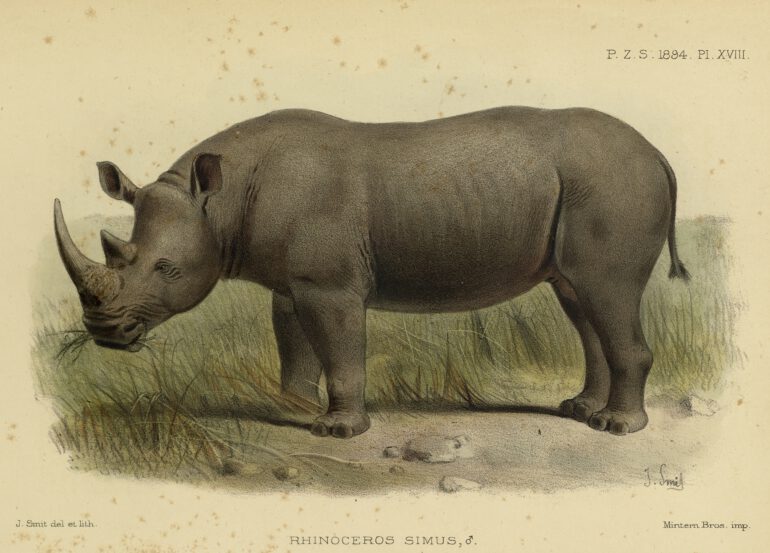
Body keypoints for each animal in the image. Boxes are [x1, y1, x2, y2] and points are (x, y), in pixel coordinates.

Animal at [54, 106, 689, 438]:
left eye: (166, 269)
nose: (104, 333)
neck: (222, 200)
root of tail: (659, 154)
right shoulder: (293, 282)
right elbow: (295, 349)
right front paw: (293, 408)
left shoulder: (330, 285)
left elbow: (340, 354)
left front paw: (338, 431)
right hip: (590, 190)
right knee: (580, 300)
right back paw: (580, 413)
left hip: (613, 184)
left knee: (606, 292)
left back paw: (619, 428)